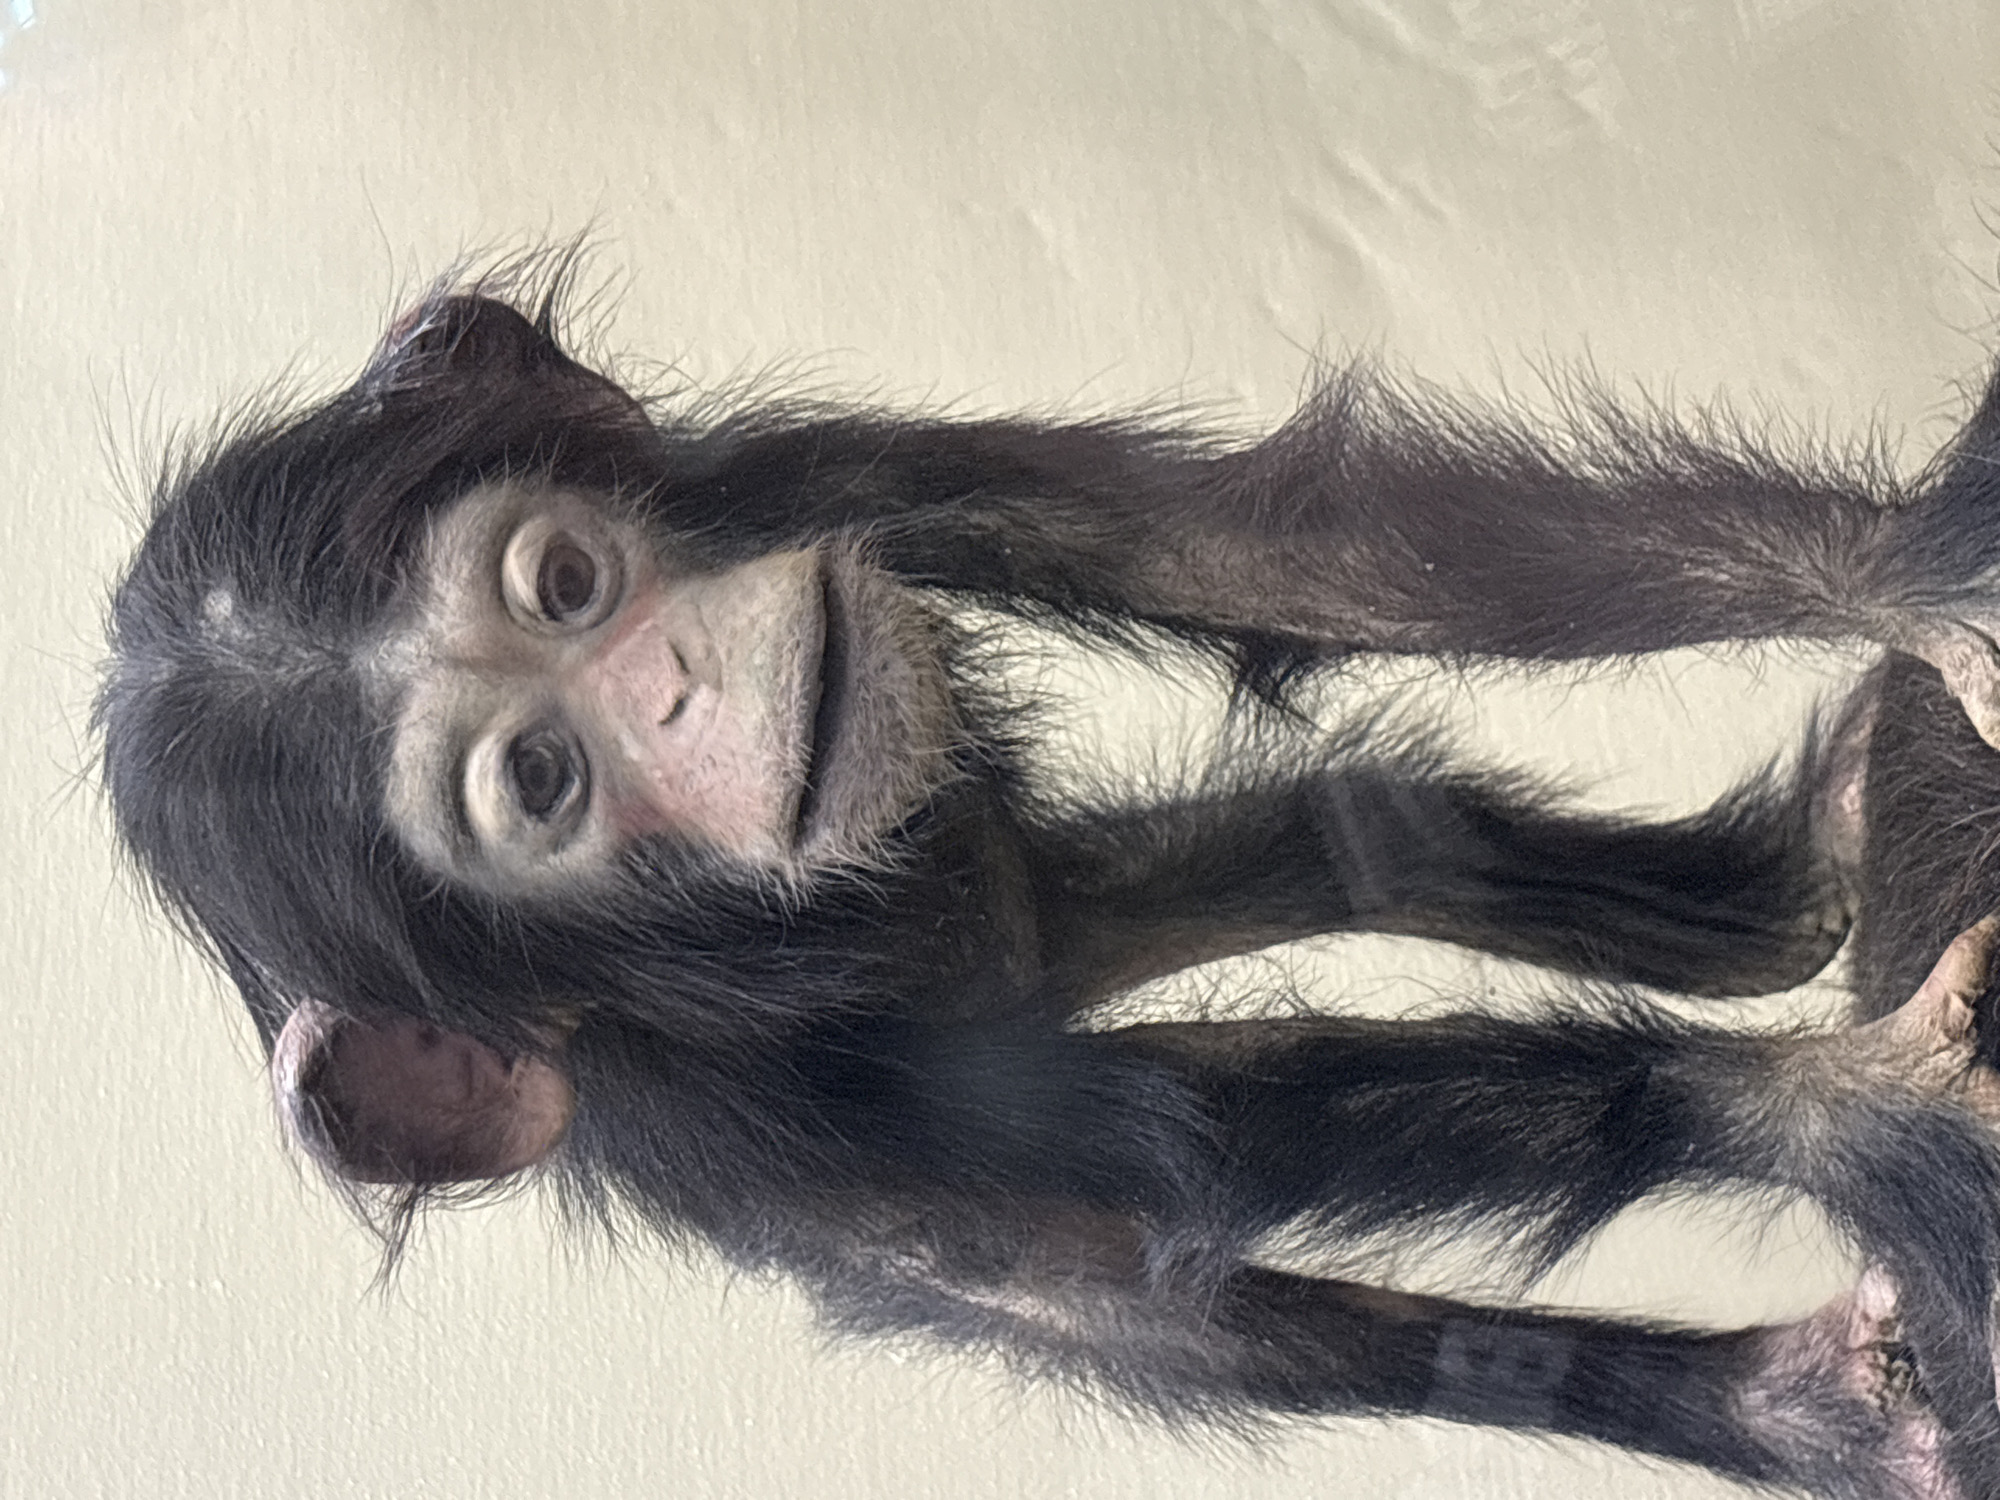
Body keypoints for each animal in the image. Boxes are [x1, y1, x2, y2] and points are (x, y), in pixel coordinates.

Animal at [95, 260, 2000, 1499]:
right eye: (542, 784)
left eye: (566, 582)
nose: (678, 684)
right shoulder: (694, 1119)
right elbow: (1144, 1199)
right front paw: (1843, 1121)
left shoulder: (794, 479)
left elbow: (1246, 553)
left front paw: (1906, 591)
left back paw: (1801, 865)